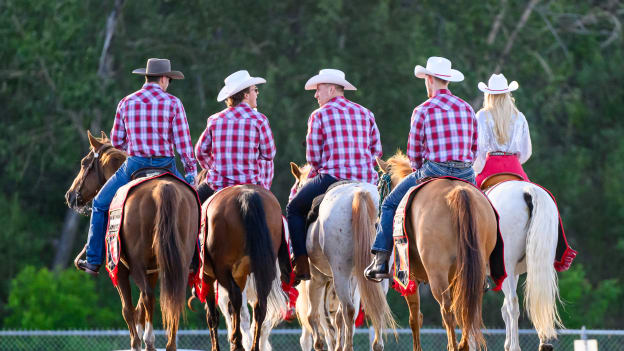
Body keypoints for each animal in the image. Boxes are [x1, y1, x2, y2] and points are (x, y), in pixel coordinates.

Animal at [65, 131, 197, 351]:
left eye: (84, 163)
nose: (70, 195)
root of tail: (163, 188)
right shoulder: (153, 270)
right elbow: (141, 306)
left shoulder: (120, 268)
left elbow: (128, 308)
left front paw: (136, 342)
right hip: (178, 262)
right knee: (170, 298)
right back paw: (169, 343)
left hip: (135, 264)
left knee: (147, 297)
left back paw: (150, 341)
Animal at [190, 184, 288, 351]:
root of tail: (246, 195)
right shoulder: (240, 277)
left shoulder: (208, 277)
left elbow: (212, 315)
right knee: (259, 306)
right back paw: (252, 346)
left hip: (222, 271)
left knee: (235, 298)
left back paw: (238, 343)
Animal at [378, 153, 500, 351]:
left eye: (380, 185)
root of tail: (458, 191)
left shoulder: (410, 277)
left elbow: (415, 318)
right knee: (467, 310)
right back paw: (462, 345)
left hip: (437, 275)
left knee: (447, 310)